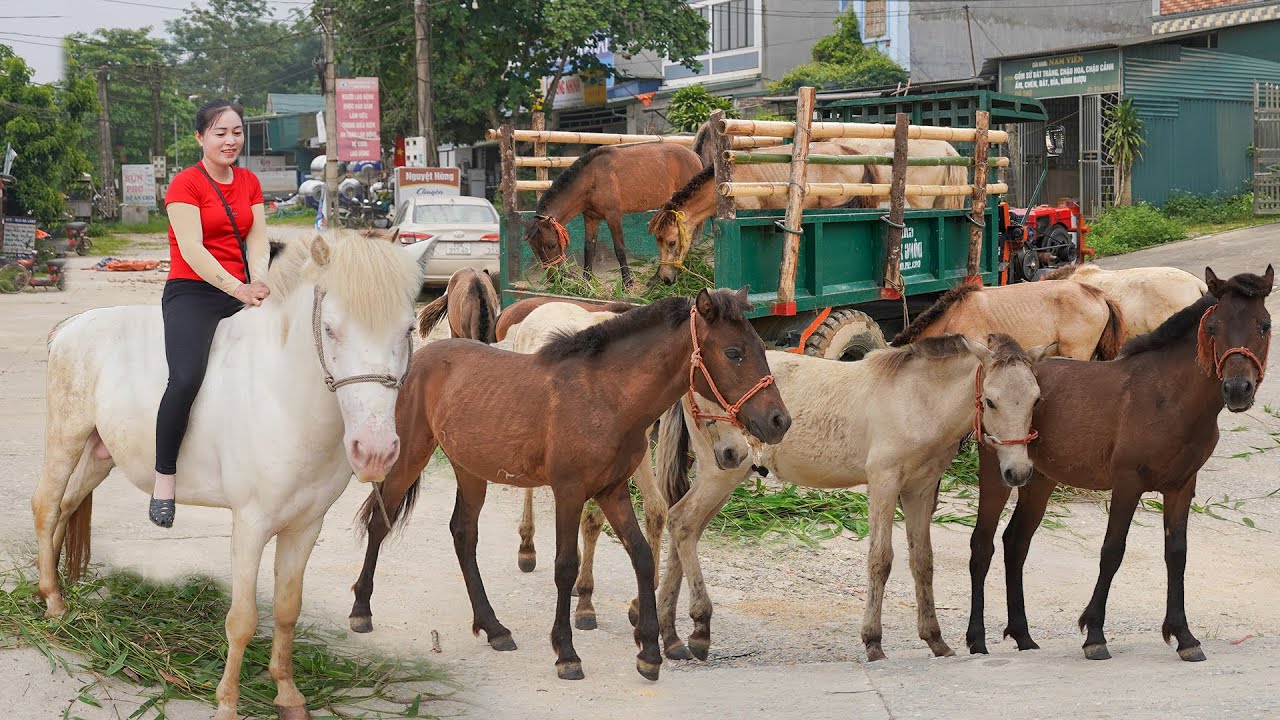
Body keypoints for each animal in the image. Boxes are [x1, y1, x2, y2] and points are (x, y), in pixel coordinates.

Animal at [33, 232, 426, 720]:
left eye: (409, 329)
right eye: (331, 329)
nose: (374, 451)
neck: (284, 397)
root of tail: (71, 325)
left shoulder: (305, 526)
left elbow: (286, 609)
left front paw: (287, 693)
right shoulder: (251, 525)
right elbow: (242, 619)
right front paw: (227, 702)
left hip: (99, 454)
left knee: (67, 506)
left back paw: (55, 590)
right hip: (65, 438)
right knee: (47, 506)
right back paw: (51, 600)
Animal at [347, 288, 791, 681]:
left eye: (760, 348)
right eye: (734, 353)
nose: (779, 421)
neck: (607, 396)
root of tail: (423, 356)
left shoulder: (612, 491)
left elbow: (642, 557)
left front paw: (649, 652)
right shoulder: (570, 492)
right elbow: (565, 567)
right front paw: (567, 654)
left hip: (469, 468)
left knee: (463, 533)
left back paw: (494, 628)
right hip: (410, 455)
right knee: (381, 523)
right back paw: (361, 610)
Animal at [522, 143, 704, 286]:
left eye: (551, 245)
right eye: (534, 249)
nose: (553, 278)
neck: (592, 178)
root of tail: (694, 155)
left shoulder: (613, 216)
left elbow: (619, 248)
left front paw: (627, 282)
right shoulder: (591, 218)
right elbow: (589, 248)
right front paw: (586, 281)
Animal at [655, 334, 1052, 663]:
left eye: (1036, 400)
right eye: (991, 401)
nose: (1018, 473)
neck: (918, 399)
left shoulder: (920, 490)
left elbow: (922, 561)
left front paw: (935, 640)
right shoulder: (883, 483)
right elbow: (881, 559)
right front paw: (873, 642)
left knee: (682, 527)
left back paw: (670, 634)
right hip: (722, 471)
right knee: (683, 524)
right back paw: (698, 630)